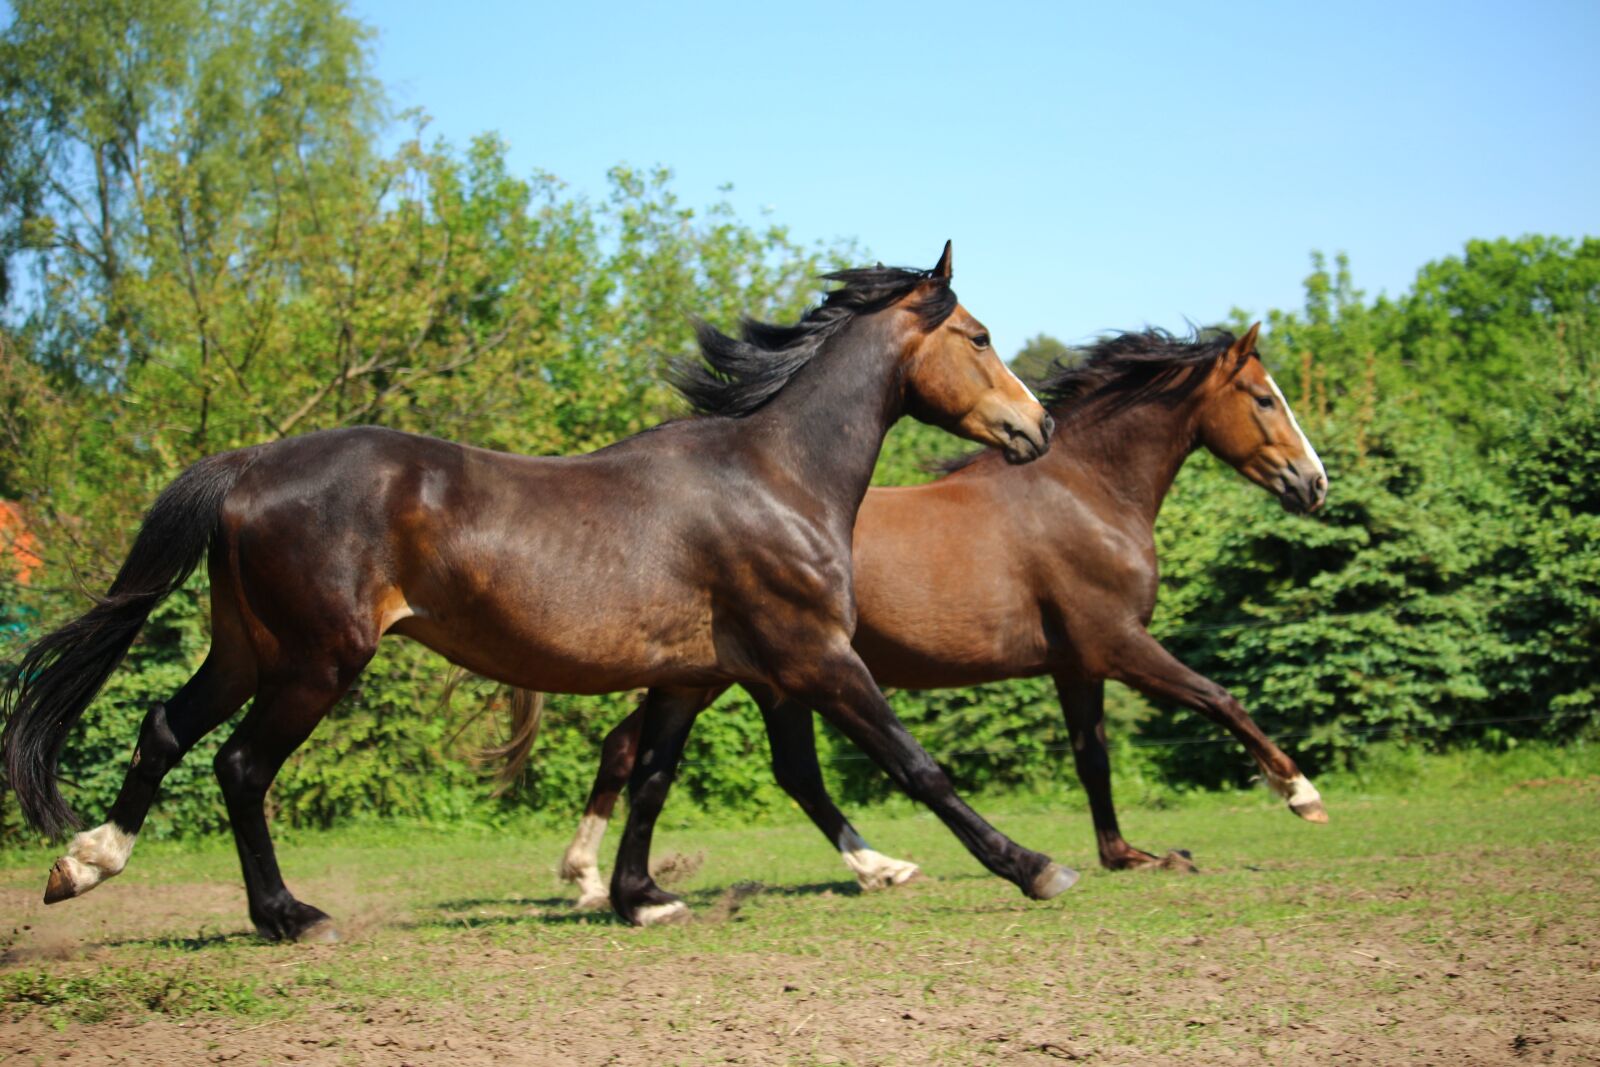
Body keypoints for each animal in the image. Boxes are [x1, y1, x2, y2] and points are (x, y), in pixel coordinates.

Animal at [1, 243, 1071, 938]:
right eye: (979, 335)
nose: (1039, 428)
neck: (774, 475)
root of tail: (249, 466)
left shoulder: (693, 674)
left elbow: (649, 774)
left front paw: (637, 895)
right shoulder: (814, 657)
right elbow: (915, 765)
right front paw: (1031, 866)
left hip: (244, 648)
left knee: (165, 728)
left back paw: (83, 864)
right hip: (315, 662)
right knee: (239, 766)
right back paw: (288, 915)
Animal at [556, 323, 1330, 907]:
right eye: (1265, 398)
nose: (1314, 483)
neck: (1084, 491)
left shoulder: (1076, 665)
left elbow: (1093, 759)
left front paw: (1128, 854)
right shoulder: (1118, 642)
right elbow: (1219, 698)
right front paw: (1301, 795)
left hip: (736, 674)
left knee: (656, 750)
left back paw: (593, 879)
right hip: (771, 669)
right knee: (699, 757)